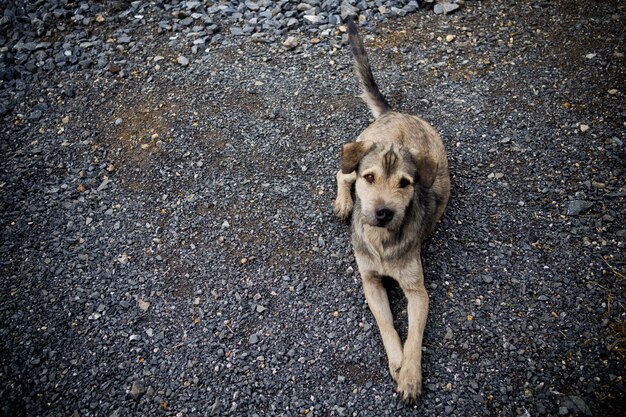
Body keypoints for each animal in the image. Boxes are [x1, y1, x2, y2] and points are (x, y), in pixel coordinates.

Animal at [332, 20, 448, 404]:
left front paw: (409, 375)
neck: (382, 240)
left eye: (405, 183)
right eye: (371, 178)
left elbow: (414, 335)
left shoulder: (418, 291)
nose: (382, 212)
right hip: (352, 157)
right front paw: (397, 362)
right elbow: (386, 324)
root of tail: (395, 112)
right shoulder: (369, 281)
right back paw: (343, 202)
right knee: (340, 173)